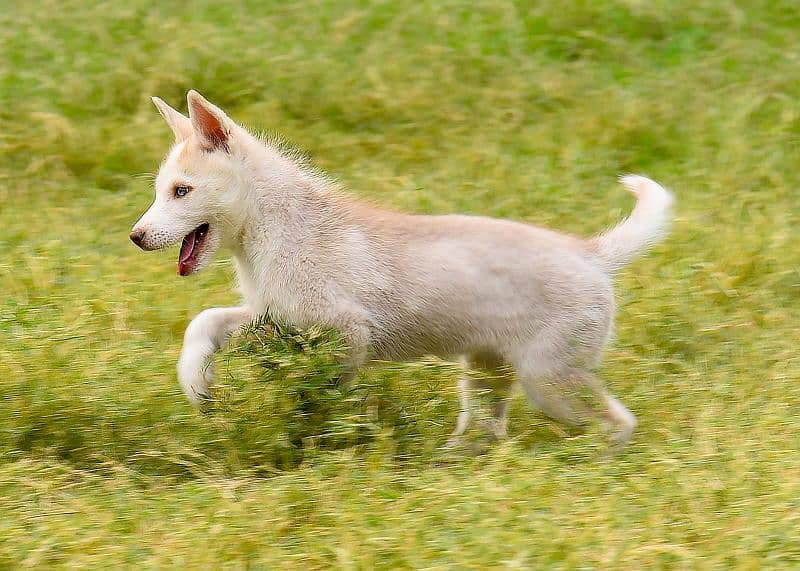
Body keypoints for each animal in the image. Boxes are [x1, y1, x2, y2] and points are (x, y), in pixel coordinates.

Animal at [133, 90, 676, 446]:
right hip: (489, 373)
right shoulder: (276, 316)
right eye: (162, 190)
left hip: (549, 380)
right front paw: (196, 383)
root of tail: (592, 252)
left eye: (181, 191)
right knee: (489, 433)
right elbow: (205, 323)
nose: (136, 237)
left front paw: (311, 428)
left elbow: (319, 390)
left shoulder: (348, 331)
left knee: (617, 423)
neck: (275, 228)